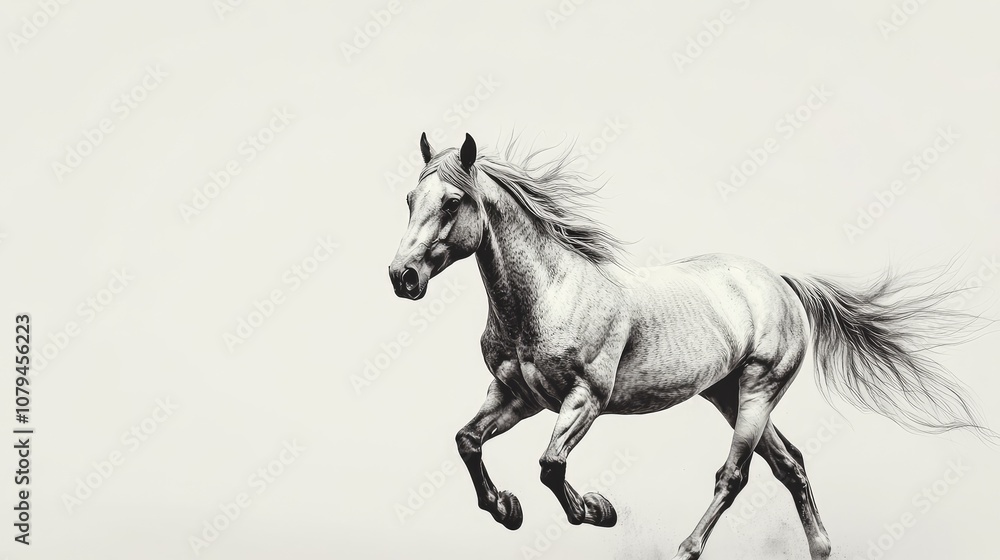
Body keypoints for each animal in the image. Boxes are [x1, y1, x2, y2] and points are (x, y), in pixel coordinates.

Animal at [386, 132, 992, 560]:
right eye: (411, 198)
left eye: (452, 202)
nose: (402, 276)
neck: (550, 293)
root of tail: (780, 281)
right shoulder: (517, 395)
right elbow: (467, 441)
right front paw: (506, 508)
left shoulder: (585, 400)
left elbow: (551, 465)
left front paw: (597, 510)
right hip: (726, 394)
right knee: (790, 464)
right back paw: (821, 549)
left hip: (757, 390)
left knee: (735, 475)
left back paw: (686, 548)